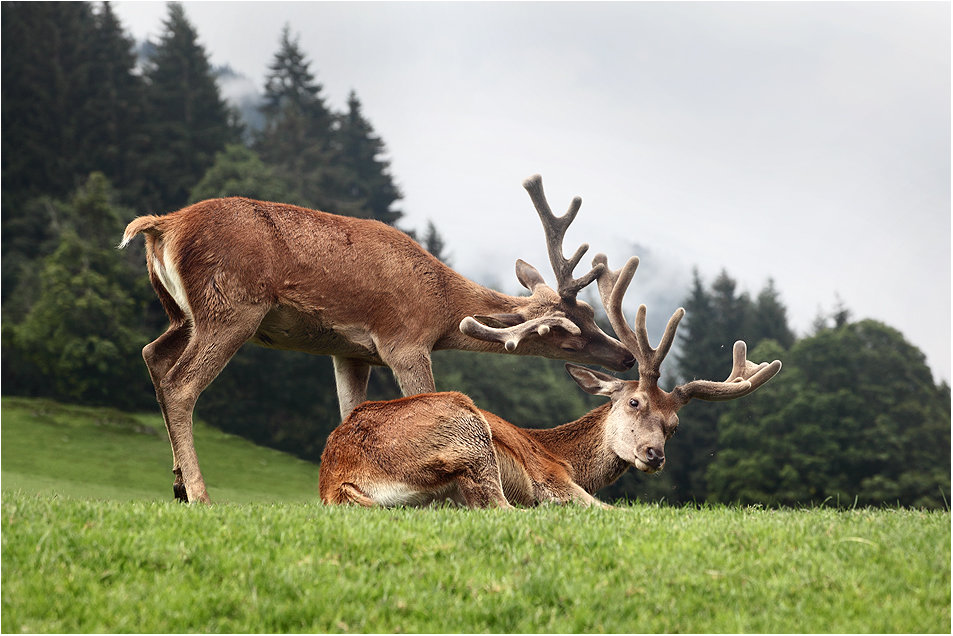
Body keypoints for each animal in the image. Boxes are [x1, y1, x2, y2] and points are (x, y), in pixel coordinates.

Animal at [122, 176, 636, 504]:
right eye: (570, 334)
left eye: (593, 315)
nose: (627, 358)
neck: (442, 308)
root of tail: (162, 226)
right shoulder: (404, 341)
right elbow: (425, 395)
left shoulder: (348, 351)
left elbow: (350, 412)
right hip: (231, 307)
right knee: (181, 383)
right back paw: (200, 494)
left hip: (182, 315)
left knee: (152, 354)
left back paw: (176, 485)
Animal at [320, 253, 780, 506]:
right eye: (635, 402)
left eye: (675, 426)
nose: (654, 454)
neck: (564, 457)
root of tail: (338, 480)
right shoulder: (550, 478)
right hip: (467, 431)